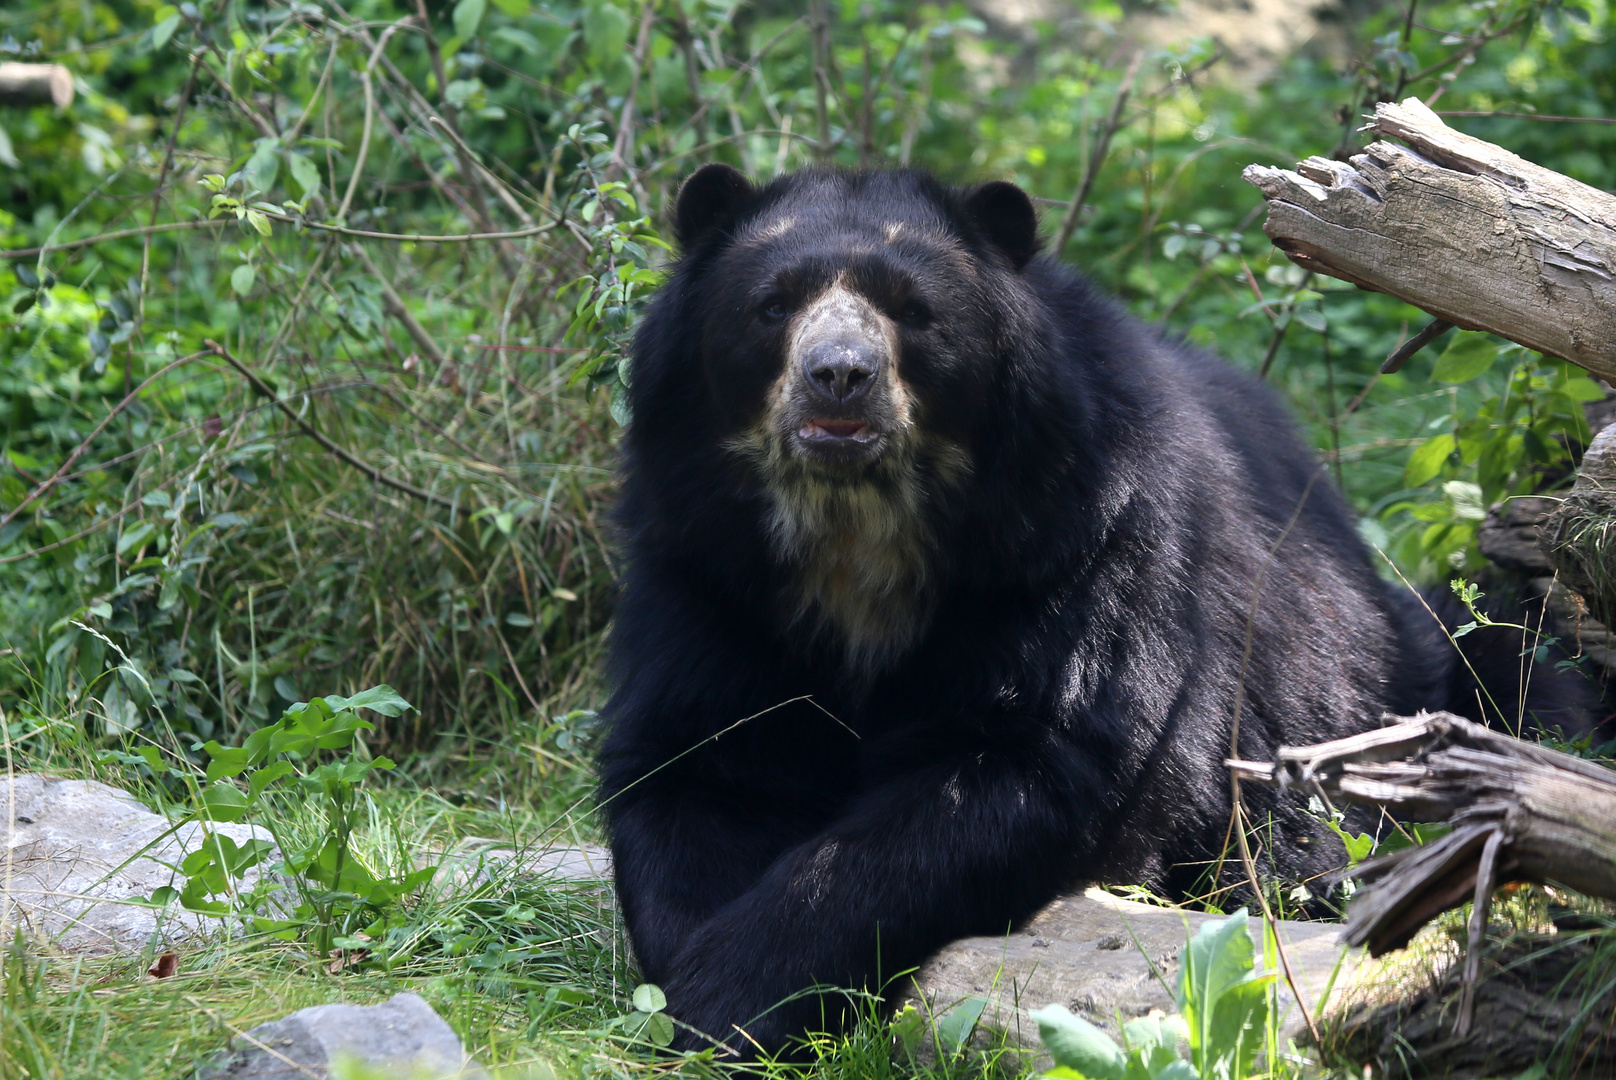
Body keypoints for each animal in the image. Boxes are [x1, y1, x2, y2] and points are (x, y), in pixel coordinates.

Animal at [591, 164, 1590, 1060]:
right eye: (772, 305)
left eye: (914, 311)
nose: (840, 376)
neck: (857, 537)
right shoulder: (708, 572)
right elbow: (698, 761)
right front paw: (689, 990)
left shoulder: (1077, 547)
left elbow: (1040, 757)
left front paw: (729, 999)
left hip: (1402, 675)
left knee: (1514, 676)